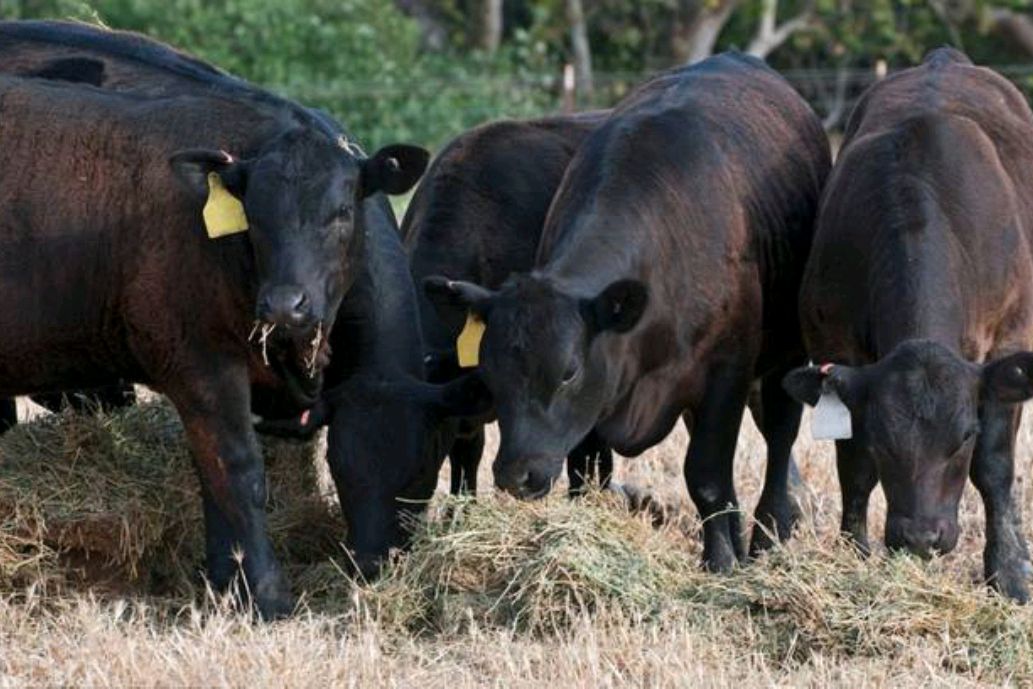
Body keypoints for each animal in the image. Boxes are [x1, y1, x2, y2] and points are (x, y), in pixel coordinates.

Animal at [423, 52, 826, 570]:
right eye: (489, 372)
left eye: (568, 371)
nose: (517, 474)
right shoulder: (596, 403)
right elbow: (582, 470)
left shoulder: (725, 372)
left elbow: (707, 474)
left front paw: (720, 562)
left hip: (785, 356)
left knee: (779, 436)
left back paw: (768, 534)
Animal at [780, 47, 1033, 599]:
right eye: (880, 435)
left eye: (965, 435)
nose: (921, 537)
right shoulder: (834, 346)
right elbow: (853, 467)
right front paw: (854, 554)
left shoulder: (1008, 342)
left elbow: (996, 468)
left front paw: (1008, 573)